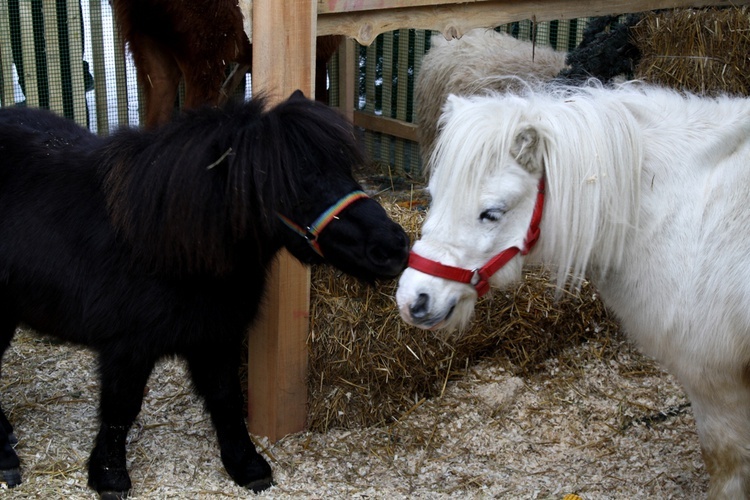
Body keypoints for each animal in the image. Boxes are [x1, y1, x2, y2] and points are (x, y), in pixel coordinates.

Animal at [0, 92, 412, 498]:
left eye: (345, 169)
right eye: (293, 183)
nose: (393, 246)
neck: (164, 244)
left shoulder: (216, 336)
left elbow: (226, 398)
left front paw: (246, 464)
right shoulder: (126, 348)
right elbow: (121, 408)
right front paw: (109, 475)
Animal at [402, 82, 750, 496]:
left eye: (492, 213)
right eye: (434, 194)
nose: (413, 299)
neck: (685, 212)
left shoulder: (715, 382)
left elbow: (725, 464)